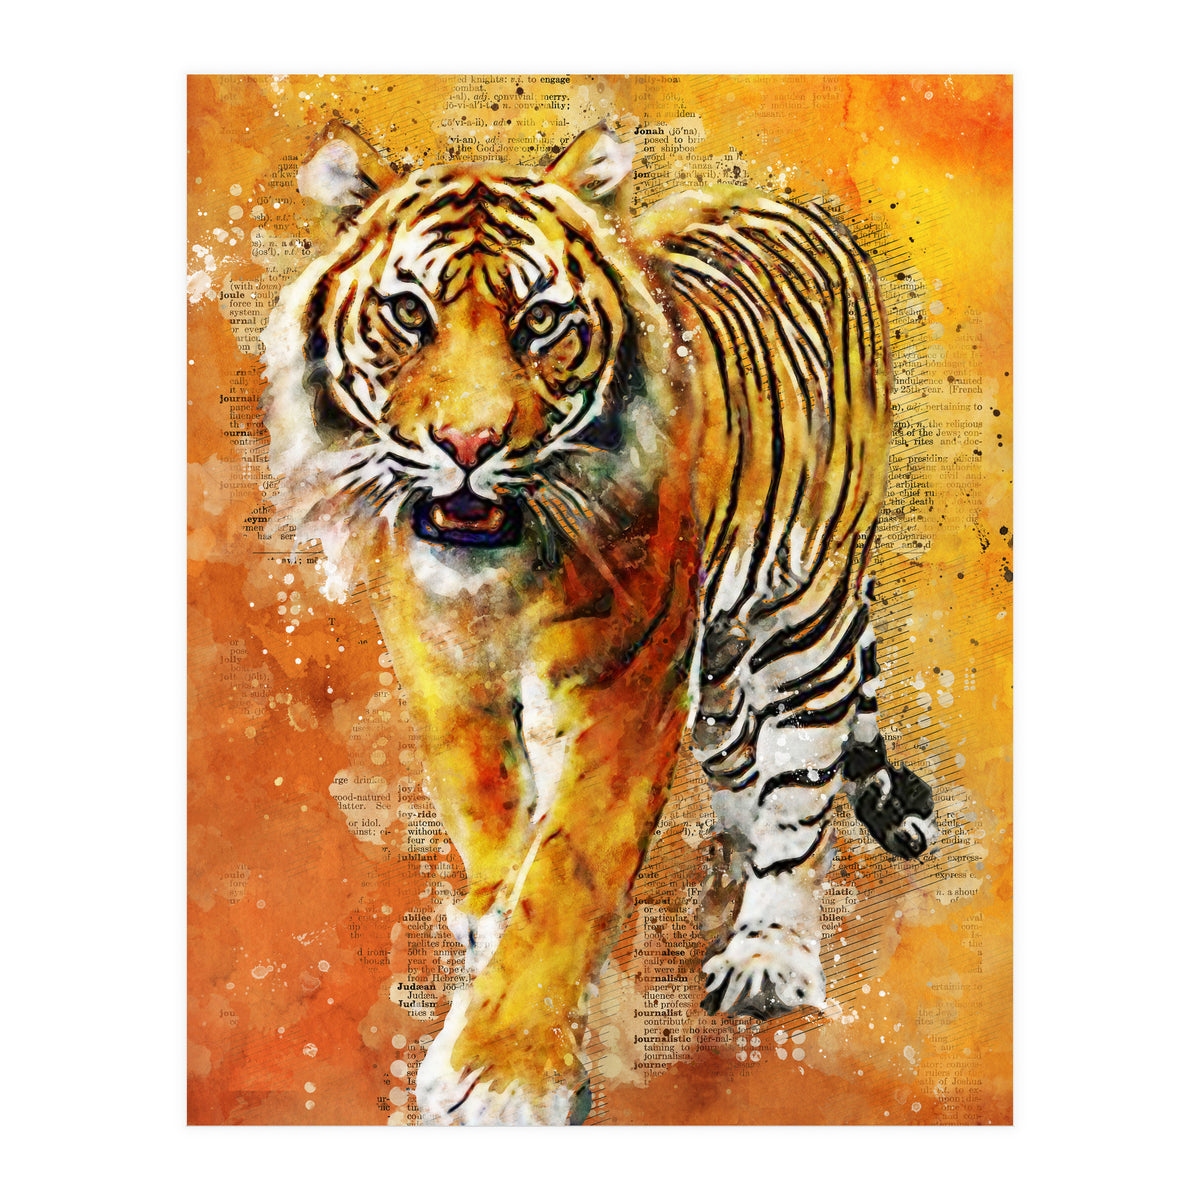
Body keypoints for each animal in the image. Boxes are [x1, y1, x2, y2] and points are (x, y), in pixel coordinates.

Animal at [261, 117, 936, 1126]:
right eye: (410, 314)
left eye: (541, 321)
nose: (468, 445)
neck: (496, 579)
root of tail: (794, 202)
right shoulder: (441, 663)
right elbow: (490, 811)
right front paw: (487, 921)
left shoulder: (626, 682)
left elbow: (569, 872)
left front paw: (505, 1072)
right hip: (722, 655)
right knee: (741, 757)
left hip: (805, 611)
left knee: (802, 787)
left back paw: (768, 952)